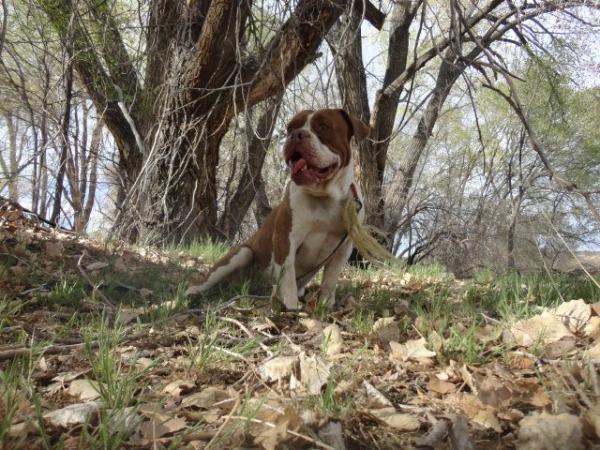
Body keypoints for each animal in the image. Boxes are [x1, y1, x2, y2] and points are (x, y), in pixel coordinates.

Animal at [185, 108, 368, 310]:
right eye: (290, 128)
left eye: (323, 126)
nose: (296, 135)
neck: (324, 197)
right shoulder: (285, 239)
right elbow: (288, 276)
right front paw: (291, 307)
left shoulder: (343, 249)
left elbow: (330, 280)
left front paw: (326, 306)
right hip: (242, 253)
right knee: (204, 281)